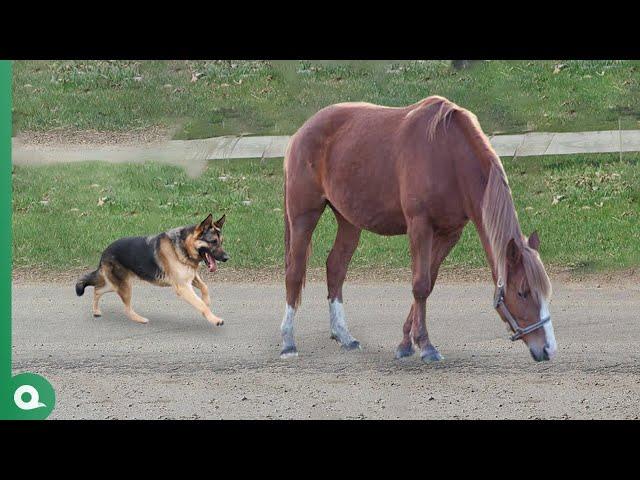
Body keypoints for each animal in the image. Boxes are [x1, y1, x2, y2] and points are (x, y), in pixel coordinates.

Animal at [75, 215, 230, 326]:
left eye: (221, 242)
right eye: (213, 242)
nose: (227, 258)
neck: (184, 245)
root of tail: (104, 252)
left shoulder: (190, 278)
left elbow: (205, 287)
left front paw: (207, 301)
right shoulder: (183, 287)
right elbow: (201, 305)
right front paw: (214, 318)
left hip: (115, 284)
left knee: (97, 290)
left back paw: (96, 311)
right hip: (124, 286)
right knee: (126, 308)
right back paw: (140, 319)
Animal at [280, 95, 556, 362]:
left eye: (546, 292)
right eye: (522, 292)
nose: (548, 349)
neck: (449, 155)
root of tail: (301, 132)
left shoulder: (449, 234)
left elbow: (429, 282)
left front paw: (406, 342)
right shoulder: (419, 226)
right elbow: (420, 284)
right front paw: (425, 345)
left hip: (348, 221)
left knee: (336, 267)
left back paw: (343, 335)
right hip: (304, 215)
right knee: (295, 271)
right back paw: (288, 342)